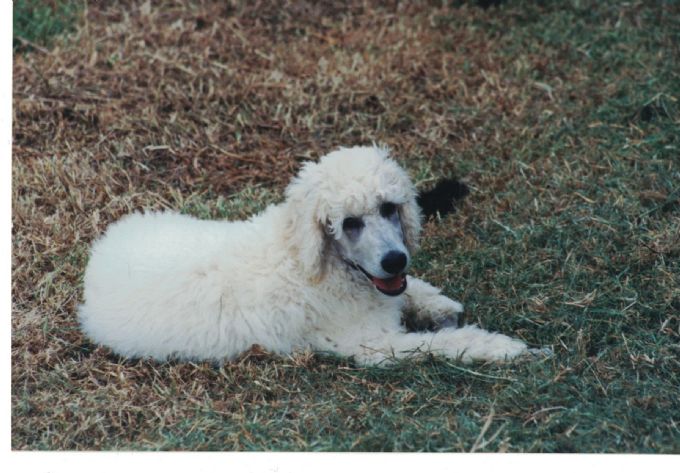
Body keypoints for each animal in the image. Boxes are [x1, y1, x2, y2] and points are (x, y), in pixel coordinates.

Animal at [79, 146, 534, 365]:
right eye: (349, 222)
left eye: (390, 207)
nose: (395, 261)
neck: (309, 258)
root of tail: (97, 262)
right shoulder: (371, 345)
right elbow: (440, 345)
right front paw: (499, 348)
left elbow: (409, 293)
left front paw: (437, 304)